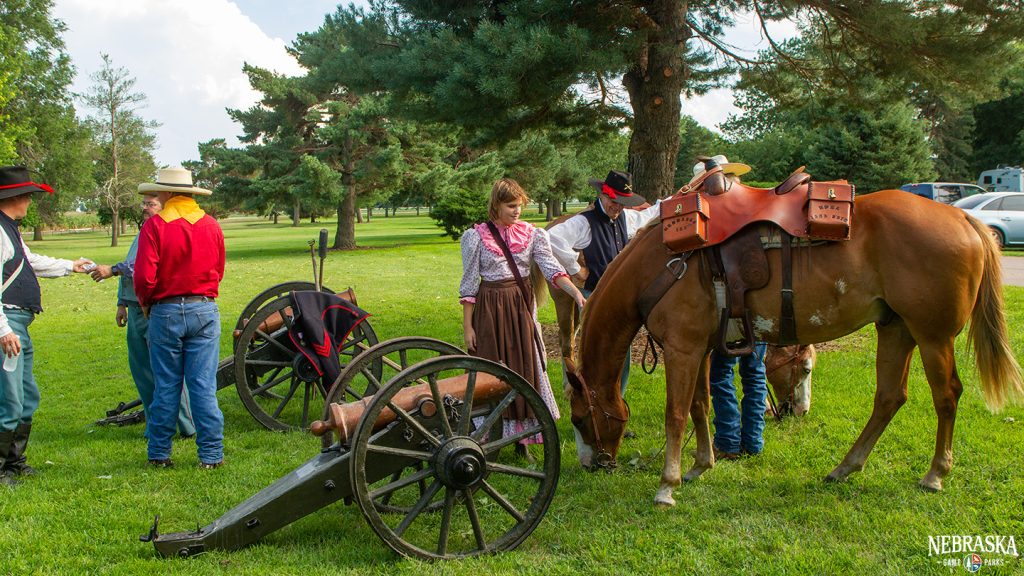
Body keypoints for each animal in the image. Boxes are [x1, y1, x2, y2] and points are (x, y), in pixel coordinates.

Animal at [565, 190, 1019, 504]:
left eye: (578, 419)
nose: (591, 465)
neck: (661, 264)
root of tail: (962, 215)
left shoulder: (682, 349)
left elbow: (676, 414)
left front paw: (667, 485)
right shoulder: (700, 349)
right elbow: (700, 406)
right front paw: (700, 466)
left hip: (932, 336)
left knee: (946, 396)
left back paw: (935, 474)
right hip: (896, 329)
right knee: (890, 398)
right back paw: (845, 467)